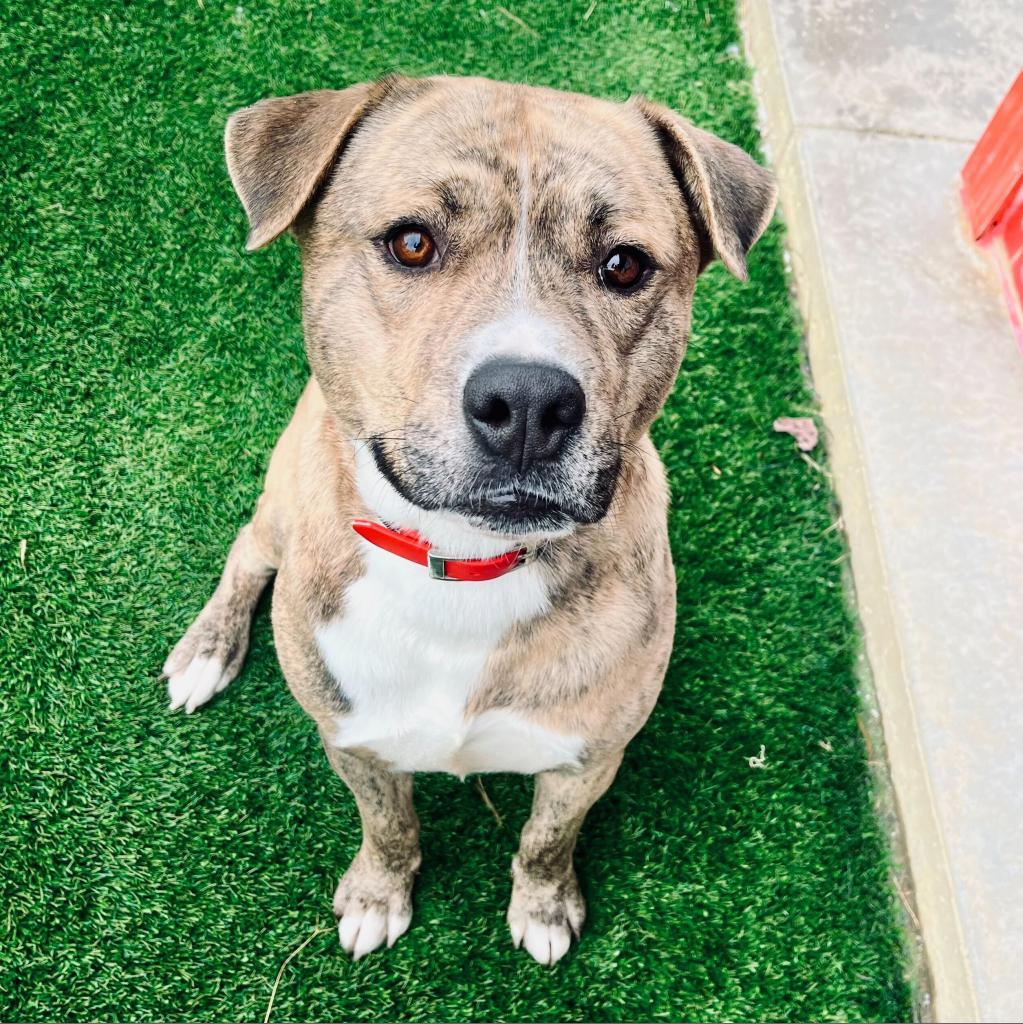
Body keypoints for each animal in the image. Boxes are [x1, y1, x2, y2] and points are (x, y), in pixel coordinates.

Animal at [165, 75, 774, 962]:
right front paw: (377, 894)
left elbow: (545, 840)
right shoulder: (354, 743)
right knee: (249, 548)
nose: (527, 402)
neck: (464, 569)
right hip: (285, 494)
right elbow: (388, 827)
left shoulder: (588, 760)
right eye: (412, 243)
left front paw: (544, 906)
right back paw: (207, 651)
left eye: (624, 264)